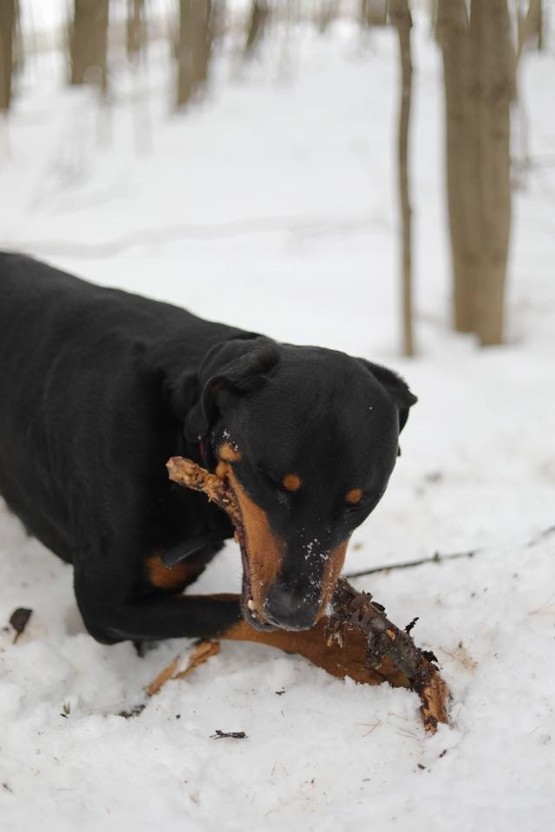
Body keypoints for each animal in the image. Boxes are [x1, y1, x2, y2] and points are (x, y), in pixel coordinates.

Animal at [0, 254, 416, 656]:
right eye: (269, 480)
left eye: (359, 503)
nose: (292, 612)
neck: (177, 428)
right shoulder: (107, 604)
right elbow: (232, 616)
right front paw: (364, 658)